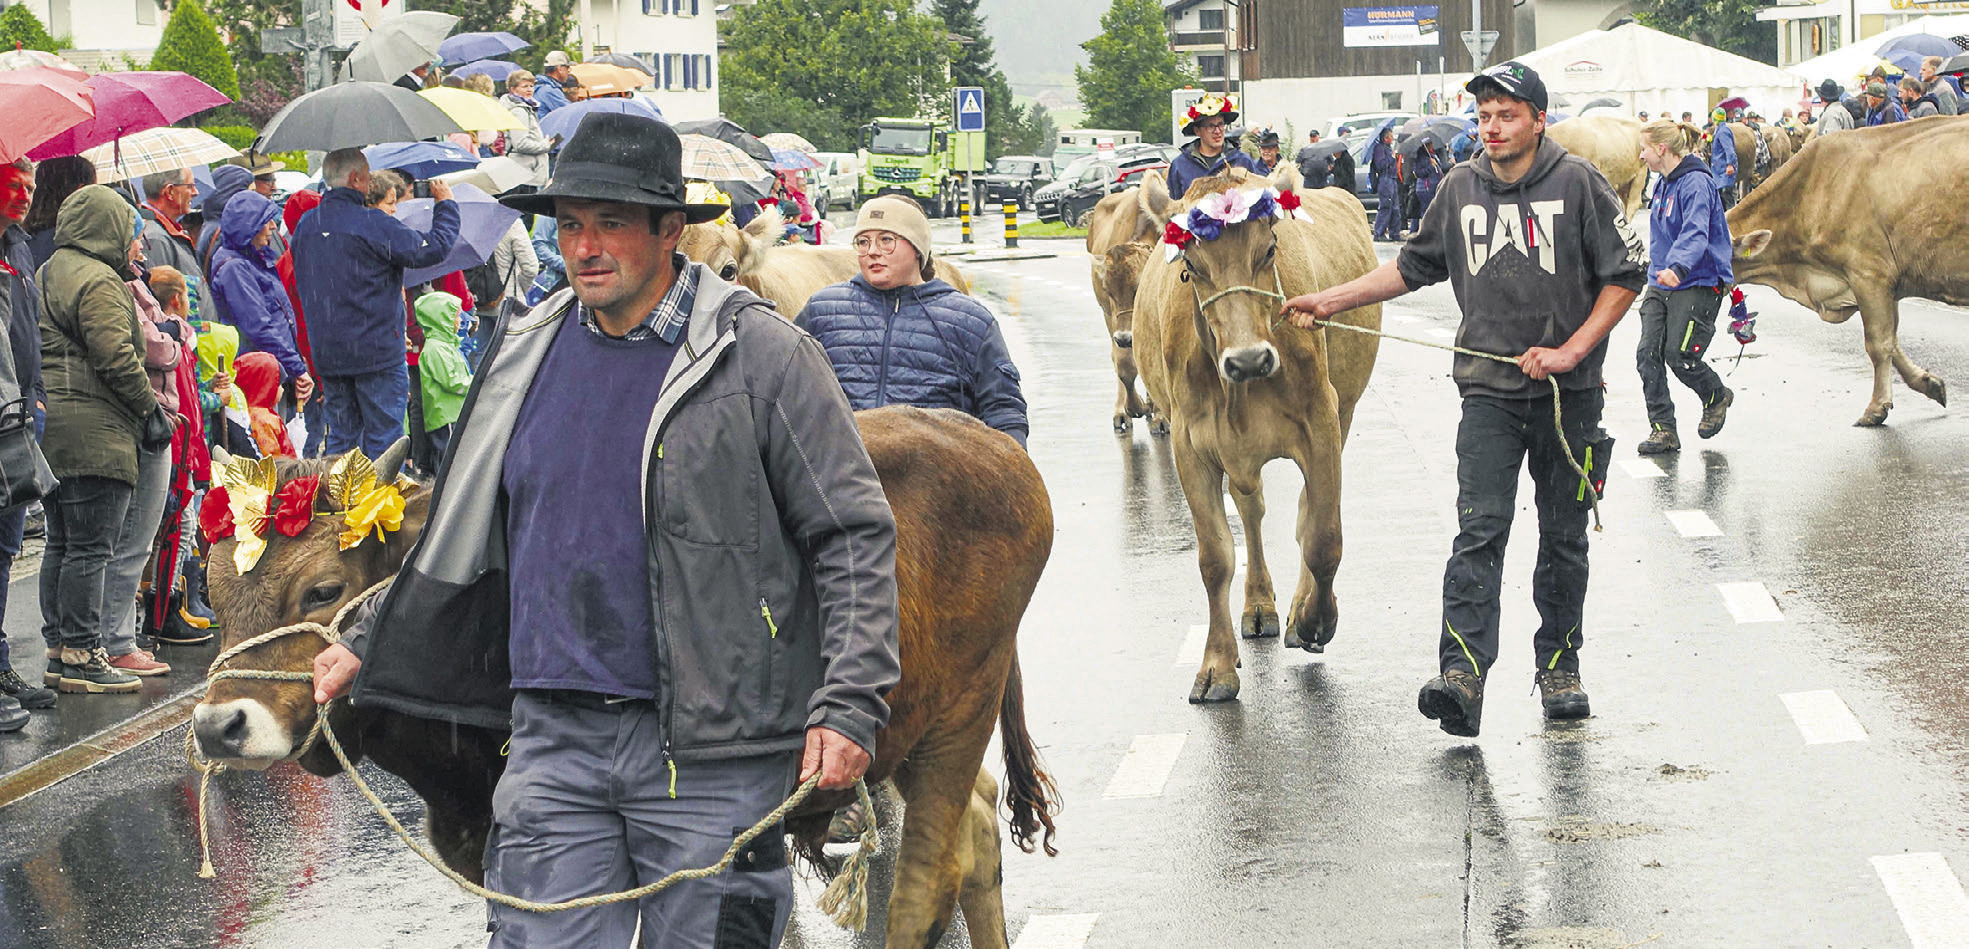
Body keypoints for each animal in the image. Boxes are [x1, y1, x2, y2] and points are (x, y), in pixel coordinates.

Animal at [188, 407, 1063, 949]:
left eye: (322, 589)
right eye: (213, 590)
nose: (217, 724)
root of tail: (989, 442)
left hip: (959, 711)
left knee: (929, 876)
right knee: (978, 828)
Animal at [1086, 182, 1157, 433]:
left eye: (1140, 287)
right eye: (1109, 290)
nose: (1125, 337)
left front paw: (1159, 415)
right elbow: (1125, 364)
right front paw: (1134, 407)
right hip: (1108, 318)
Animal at [1126, 163, 1386, 700]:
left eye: (1269, 250)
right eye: (1189, 265)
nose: (1248, 359)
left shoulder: (1322, 423)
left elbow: (1323, 538)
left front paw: (1314, 621)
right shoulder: (1189, 446)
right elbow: (1215, 558)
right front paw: (1217, 665)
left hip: (1346, 412)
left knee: (1305, 513)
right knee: (1251, 512)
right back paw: (1259, 605)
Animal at [1732, 118, 1961, 427]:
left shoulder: (1869, 274)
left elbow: (1878, 342)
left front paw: (1876, 408)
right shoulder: (1881, 283)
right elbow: (1893, 340)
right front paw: (1929, 383)